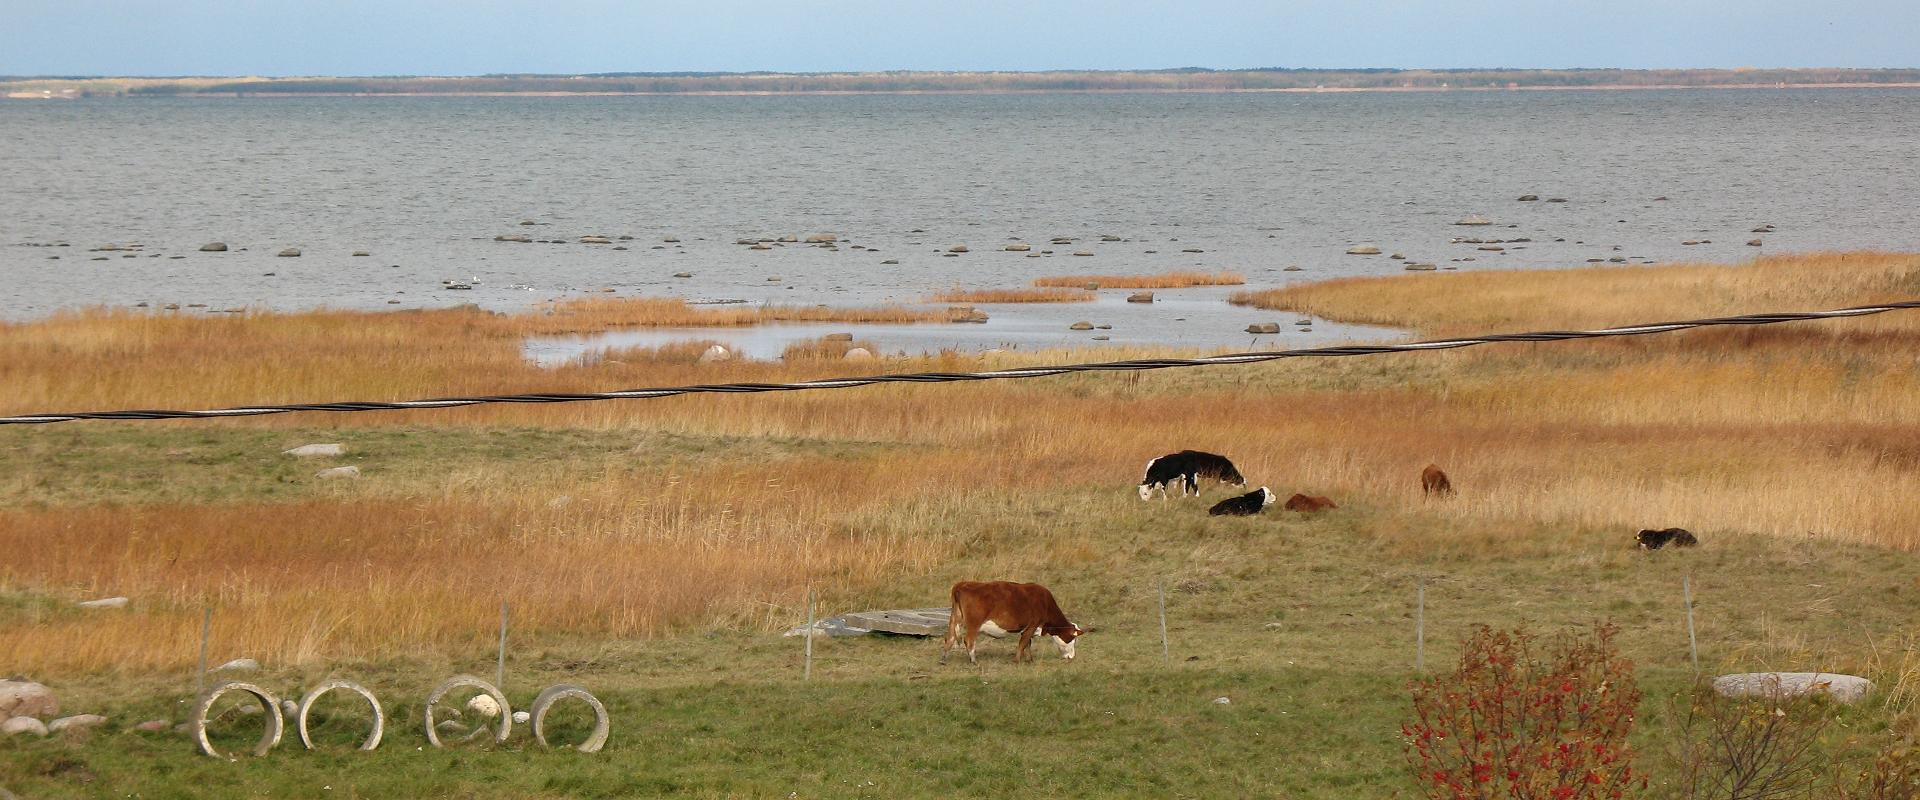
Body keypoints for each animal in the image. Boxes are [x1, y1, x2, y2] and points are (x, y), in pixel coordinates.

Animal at [940, 579, 1082, 659]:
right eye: (1072, 639)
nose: (1072, 656)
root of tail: (963, 584)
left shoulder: (1028, 628)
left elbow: (1027, 643)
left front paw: (1029, 659)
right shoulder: (1032, 625)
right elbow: (1023, 643)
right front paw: (1017, 660)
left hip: (954, 618)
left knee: (950, 637)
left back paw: (944, 659)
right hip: (974, 623)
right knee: (969, 640)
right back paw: (974, 661)